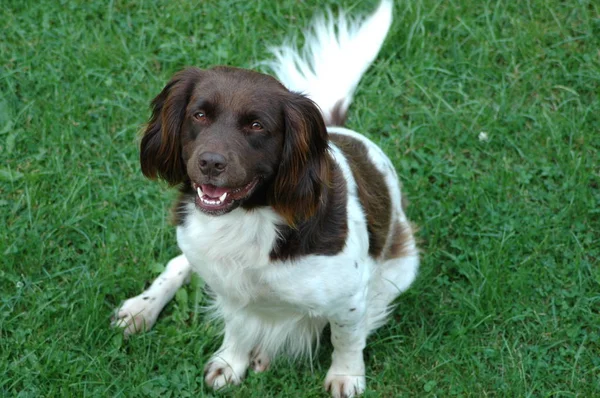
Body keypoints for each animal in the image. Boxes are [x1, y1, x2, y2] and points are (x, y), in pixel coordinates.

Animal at [115, 1, 420, 396]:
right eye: (199, 114)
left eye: (257, 125)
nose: (210, 163)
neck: (249, 216)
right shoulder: (227, 284)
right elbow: (239, 326)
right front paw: (231, 362)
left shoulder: (350, 298)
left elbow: (346, 338)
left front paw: (346, 376)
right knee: (178, 263)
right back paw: (142, 308)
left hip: (402, 266)